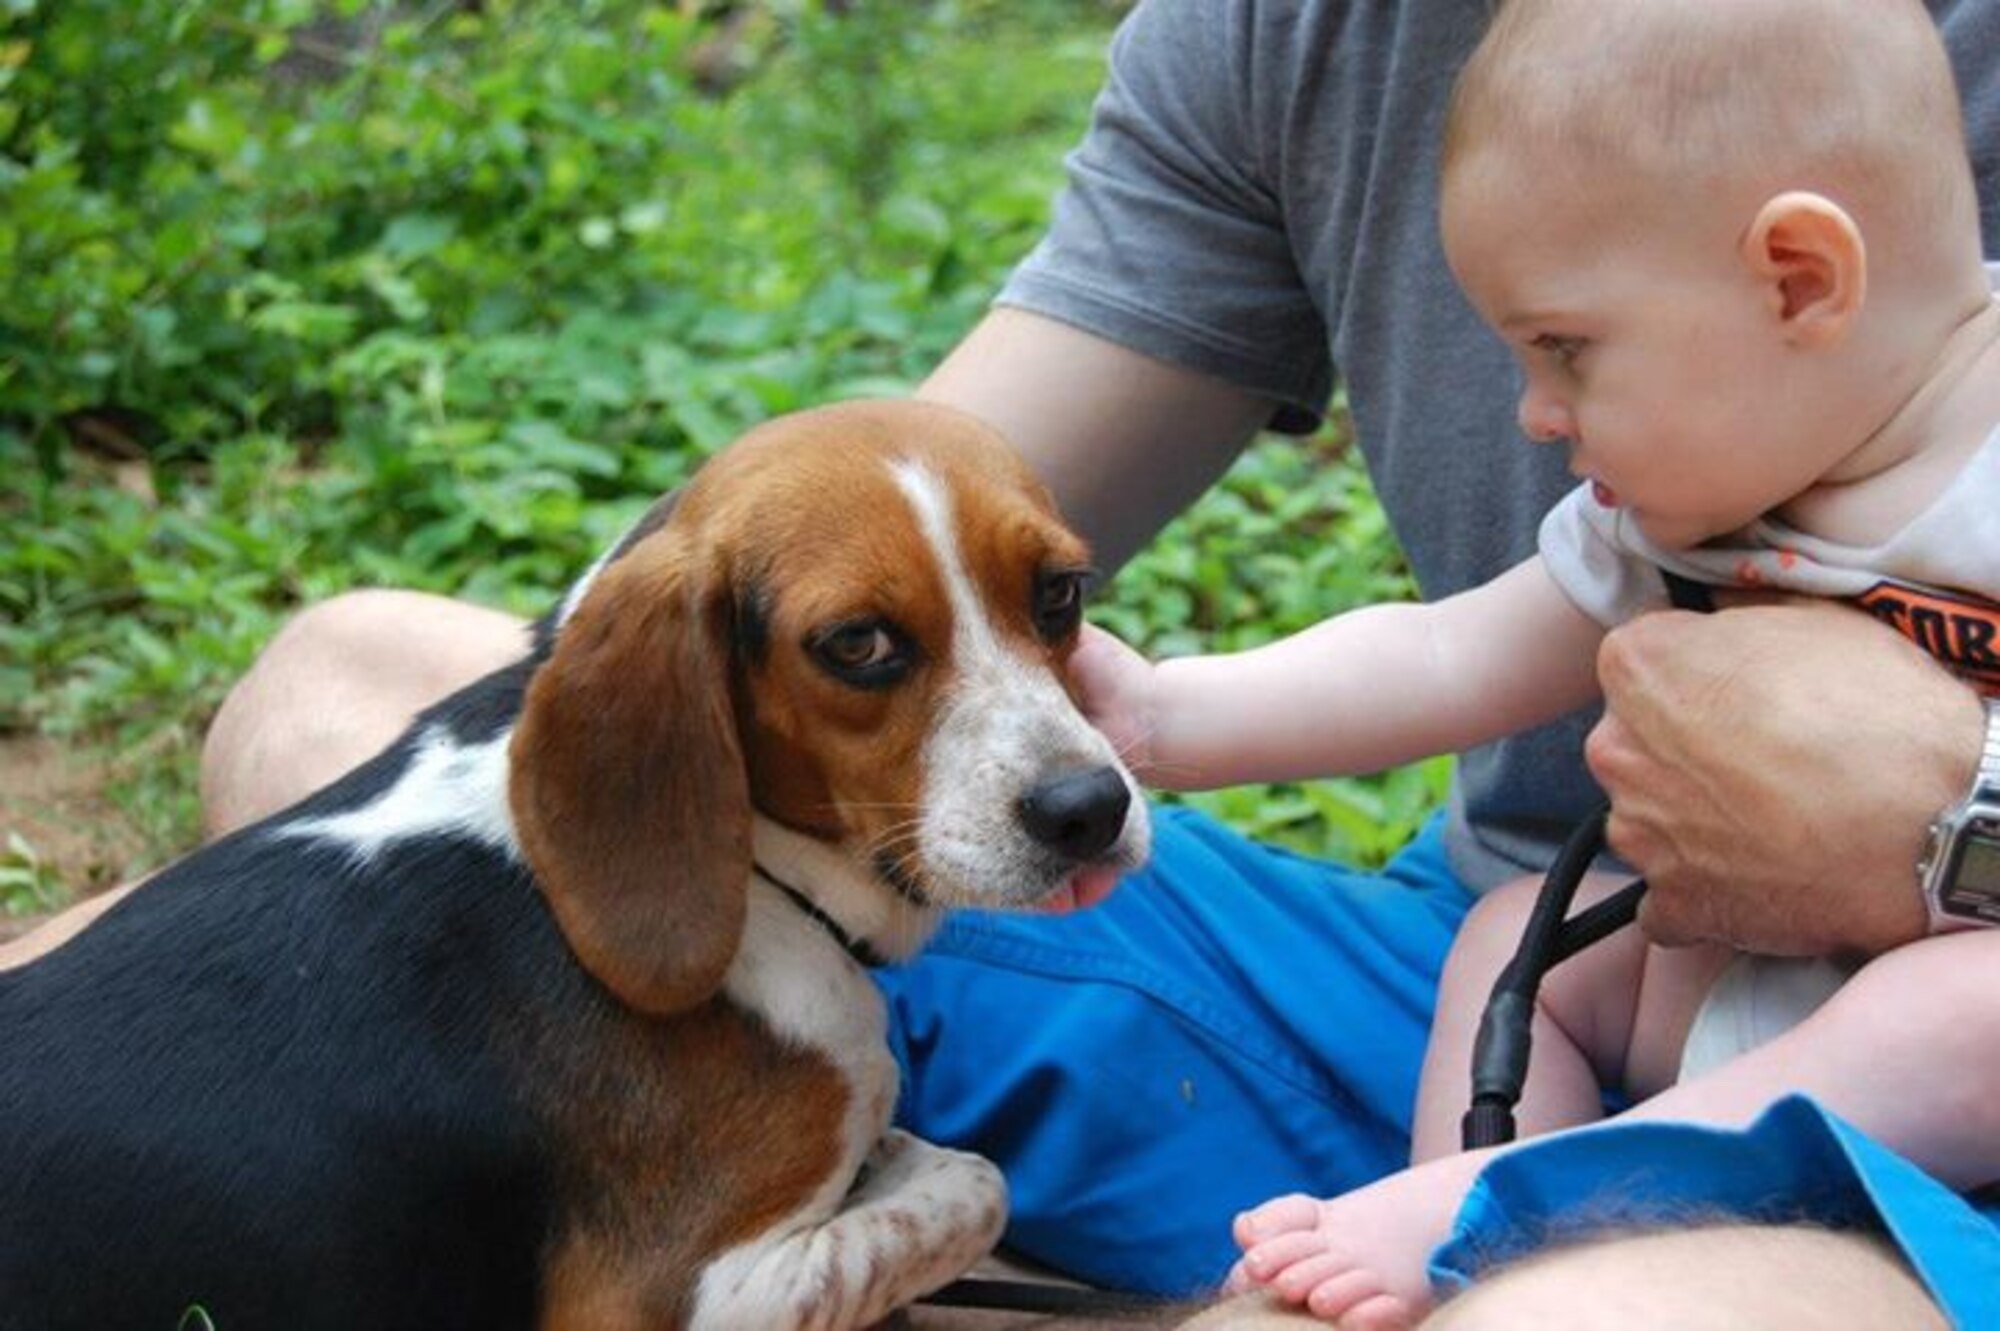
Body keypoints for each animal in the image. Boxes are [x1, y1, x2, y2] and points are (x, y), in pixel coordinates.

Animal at [0, 401, 1152, 1327]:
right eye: (859, 643)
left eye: (1059, 591)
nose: (1087, 810)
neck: (759, 876)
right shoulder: (677, 1298)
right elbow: (971, 1181)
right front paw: (901, 1157)